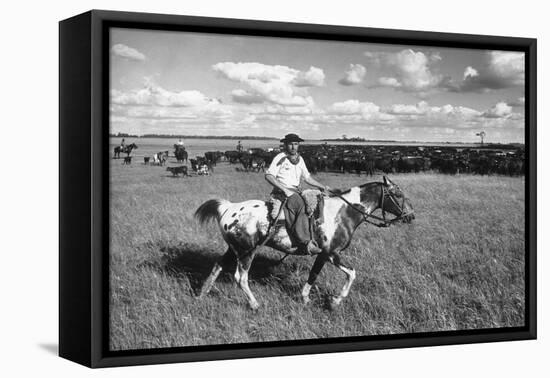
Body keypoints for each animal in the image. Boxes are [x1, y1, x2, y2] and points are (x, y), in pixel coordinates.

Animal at [194, 176, 414, 308]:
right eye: (398, 194)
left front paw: (305, 297)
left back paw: (202, 294)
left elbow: (313, 274)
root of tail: (227, 208)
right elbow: (351, 273)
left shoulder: (323, 255)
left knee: (218, 265)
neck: (343, 213)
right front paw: (335, 301)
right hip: (246, 252)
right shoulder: (332, 253)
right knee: (240, 278)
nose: (410, 216)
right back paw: (255, 304)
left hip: (234, 250)